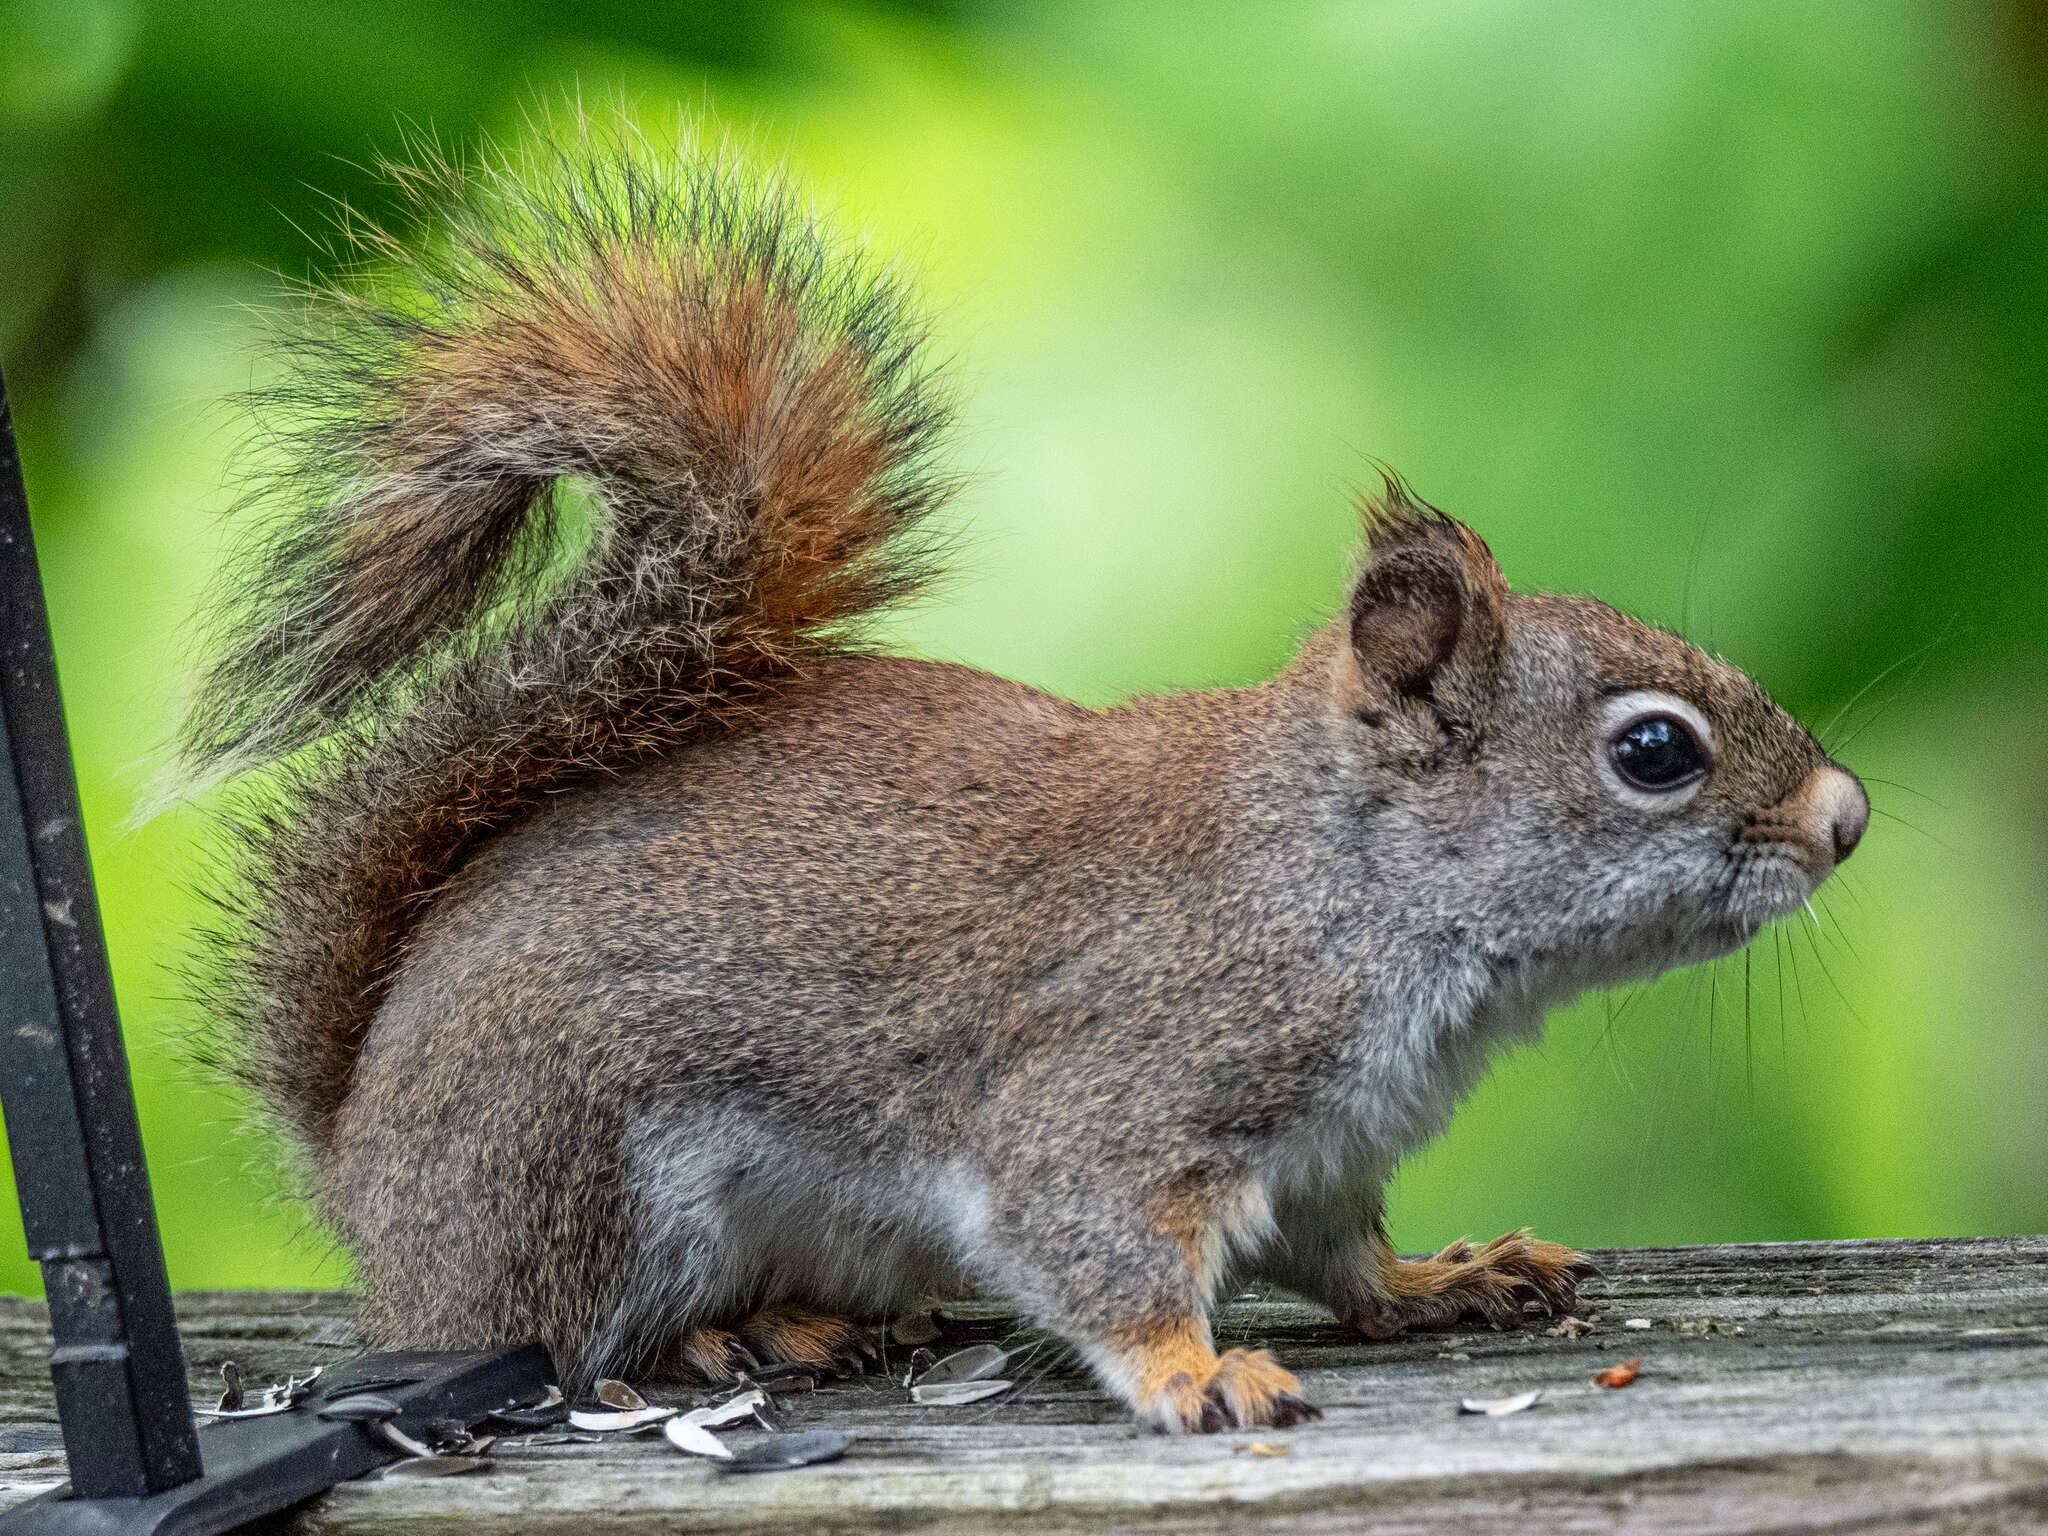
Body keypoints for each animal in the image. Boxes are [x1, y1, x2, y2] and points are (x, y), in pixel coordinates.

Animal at [184, 129, 1867, 1433]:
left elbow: (1340, 1261)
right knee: (567, 1340)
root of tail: (359, 1170)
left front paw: (1445, 1280)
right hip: (569, 1186)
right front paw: (1197, 1374)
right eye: (1653, 751)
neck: (1351, 885)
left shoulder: (1327, 1153)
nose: (1842, 819)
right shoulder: (1128, 1078)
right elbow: (1093, 1241)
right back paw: (718, 1338)